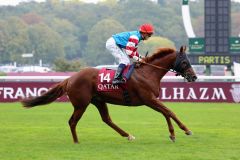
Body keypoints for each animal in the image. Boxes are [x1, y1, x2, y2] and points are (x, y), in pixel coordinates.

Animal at [21, 45, 197, 143]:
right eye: (185, 62)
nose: (194, 77)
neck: (148, 73)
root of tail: (70, 78)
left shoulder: (151, 100)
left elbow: (166, 112)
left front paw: (173, 134)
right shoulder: (148, 99)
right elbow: (169, 111)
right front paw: (185, 130)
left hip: (98, 100)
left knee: (106, 119)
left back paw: (128, 135)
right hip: (81, 104)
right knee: (72, 122)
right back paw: (76, 142)